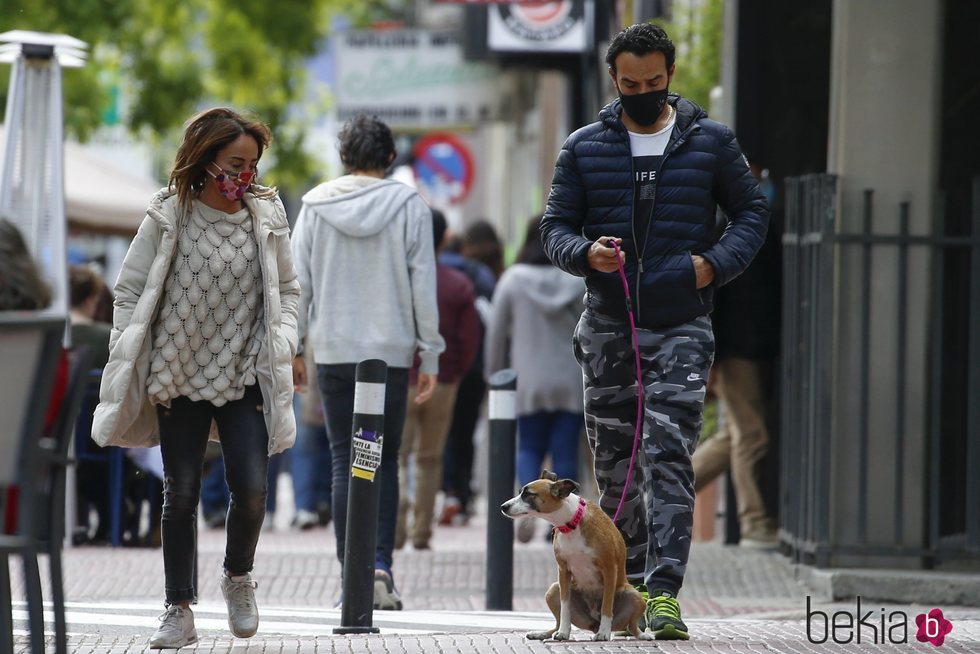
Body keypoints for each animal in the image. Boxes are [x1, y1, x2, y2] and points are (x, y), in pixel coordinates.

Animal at [498, 472, 652, 644]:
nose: (503, 506)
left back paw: (641, 634)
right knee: (556, 622)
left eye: (529, 494)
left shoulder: (609, 569)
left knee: (632, 626)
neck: (572, 523)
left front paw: (604, 633)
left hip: (635, 596)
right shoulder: (563, 571)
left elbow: (607, 605)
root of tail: (594, 623)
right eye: (520, 492)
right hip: (553, 589)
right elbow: (565, 607)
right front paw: (564, 632)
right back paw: (543, 634)